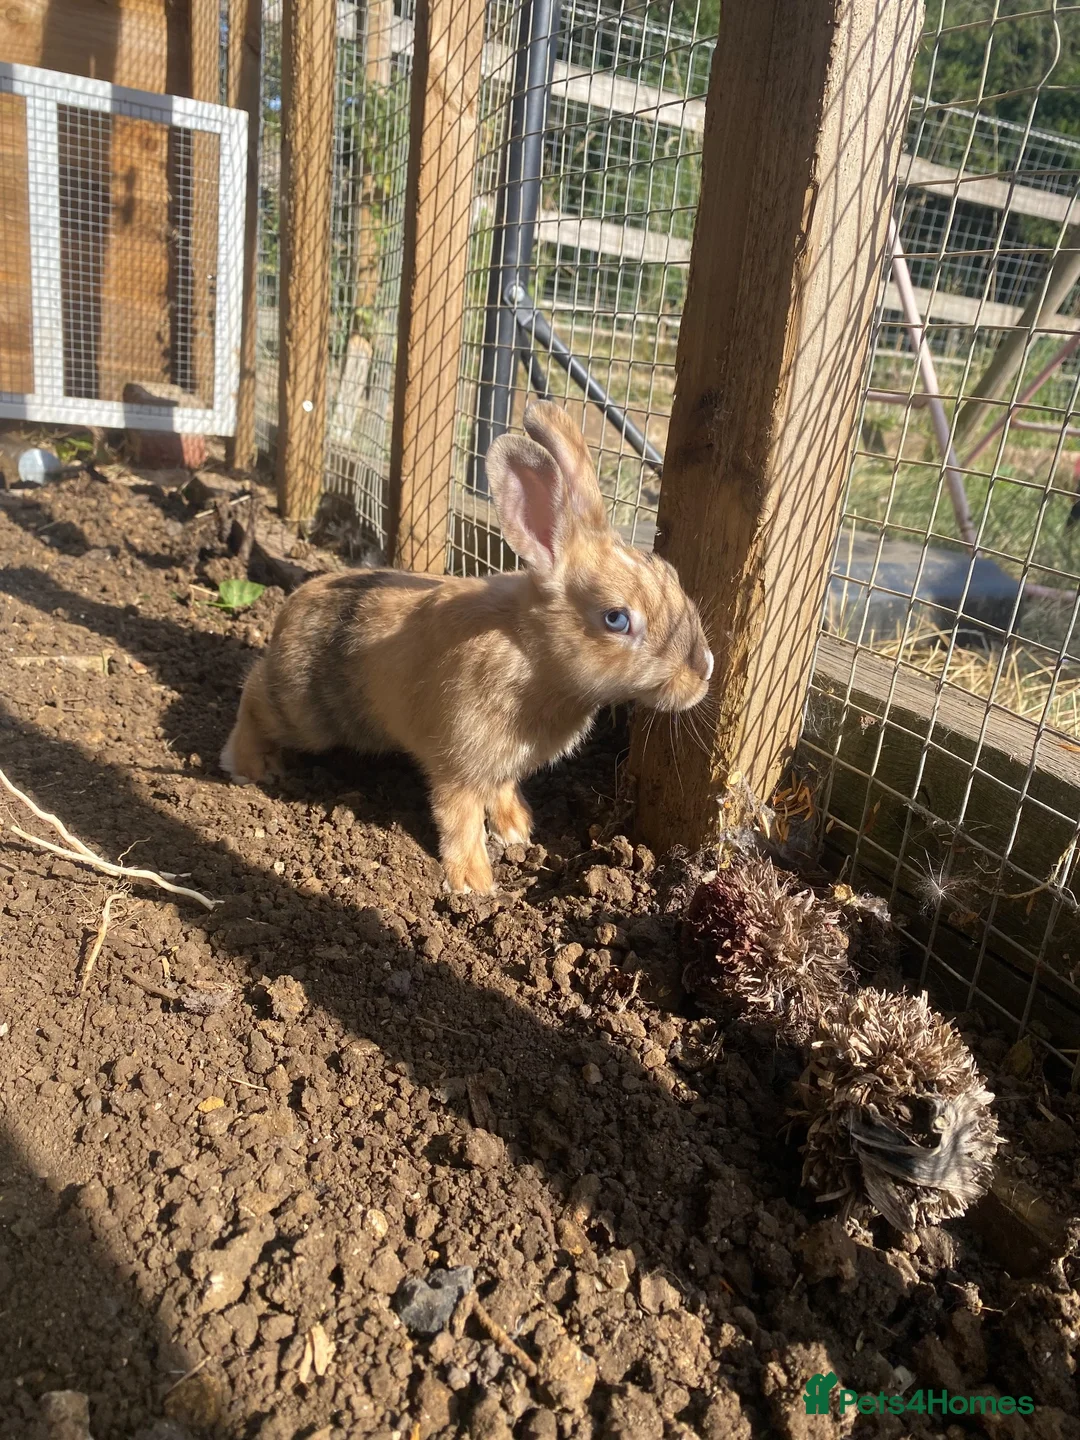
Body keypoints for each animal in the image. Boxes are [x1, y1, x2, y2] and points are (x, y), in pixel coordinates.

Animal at [220, 401, 713, 893]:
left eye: (670, 574)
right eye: (616, 619)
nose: (704, 671)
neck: (533, 653)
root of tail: (288, 611)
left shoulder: (501, 765)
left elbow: (502, 790)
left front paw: (517, 829)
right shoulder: (458, 762)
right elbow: (459, 816)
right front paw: (473, 881)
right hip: (307, 712)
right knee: (253, 696)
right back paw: (248, 765)